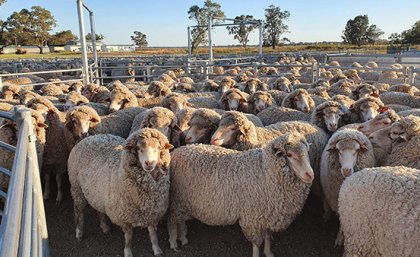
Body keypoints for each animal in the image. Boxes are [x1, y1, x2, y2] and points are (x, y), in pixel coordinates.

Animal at [168, 132, 316, 256]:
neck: (266, 171)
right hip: (176, 199)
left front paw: (268, 252)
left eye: (307, 152)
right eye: (289, 155)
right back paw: (174, 242)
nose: (310, 175)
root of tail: (176, 152)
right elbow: (256, 244)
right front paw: (258, 254)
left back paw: (183, 238)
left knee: (180, 220)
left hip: (182, 202)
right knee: (173, 221)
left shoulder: (267, 214)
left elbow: (267, 236)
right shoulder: (252, 219)